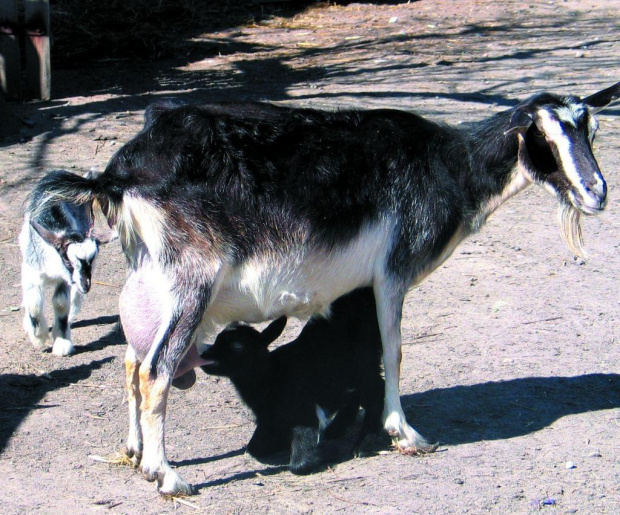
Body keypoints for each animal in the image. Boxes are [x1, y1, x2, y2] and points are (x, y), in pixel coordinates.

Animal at [20, 172, 103, 354]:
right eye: (67, 260)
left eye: (92, 259)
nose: (86, 285)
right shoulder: (31, 273)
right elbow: (34, 303)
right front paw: (39, 337)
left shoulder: (64, 280)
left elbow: (60, 303)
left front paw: (62, 342)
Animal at [203, 288, 386, 474]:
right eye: (217, 338)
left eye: (237, 346)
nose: (204, 355)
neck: (271, 375)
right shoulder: (271, 420)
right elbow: (254, 448)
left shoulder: (303, 412)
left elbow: (299, 464)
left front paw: (327, 453)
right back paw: (337, 429)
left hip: (365, 358)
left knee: (377, 388)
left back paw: (363, 443)